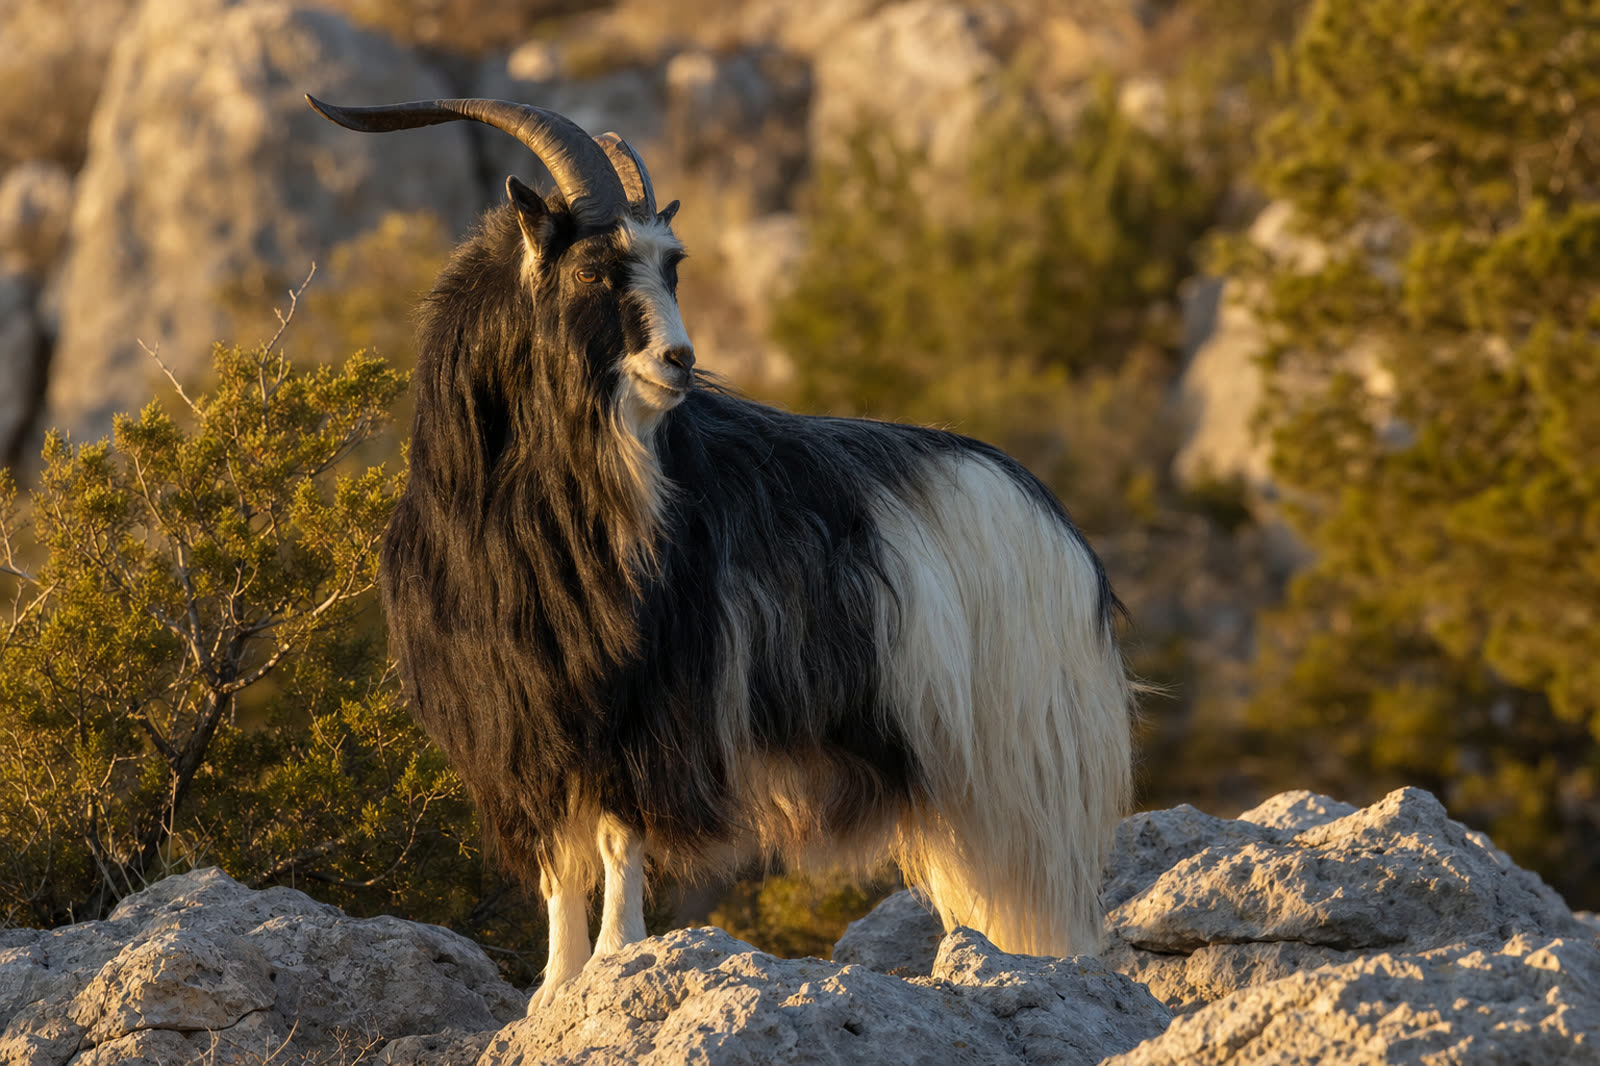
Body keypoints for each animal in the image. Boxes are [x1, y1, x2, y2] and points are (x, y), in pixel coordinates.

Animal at [307, 94, 1135, 1008]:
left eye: (672, 269)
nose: (679, 361)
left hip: (1020, 769)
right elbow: (560, 861)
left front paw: (615, 959)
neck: (521, 519)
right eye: (592, 271)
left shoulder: (648, 705)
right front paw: (555, 989)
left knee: (1045, 896)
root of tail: (1064, 538)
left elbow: (618, 837)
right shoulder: (522, 721)